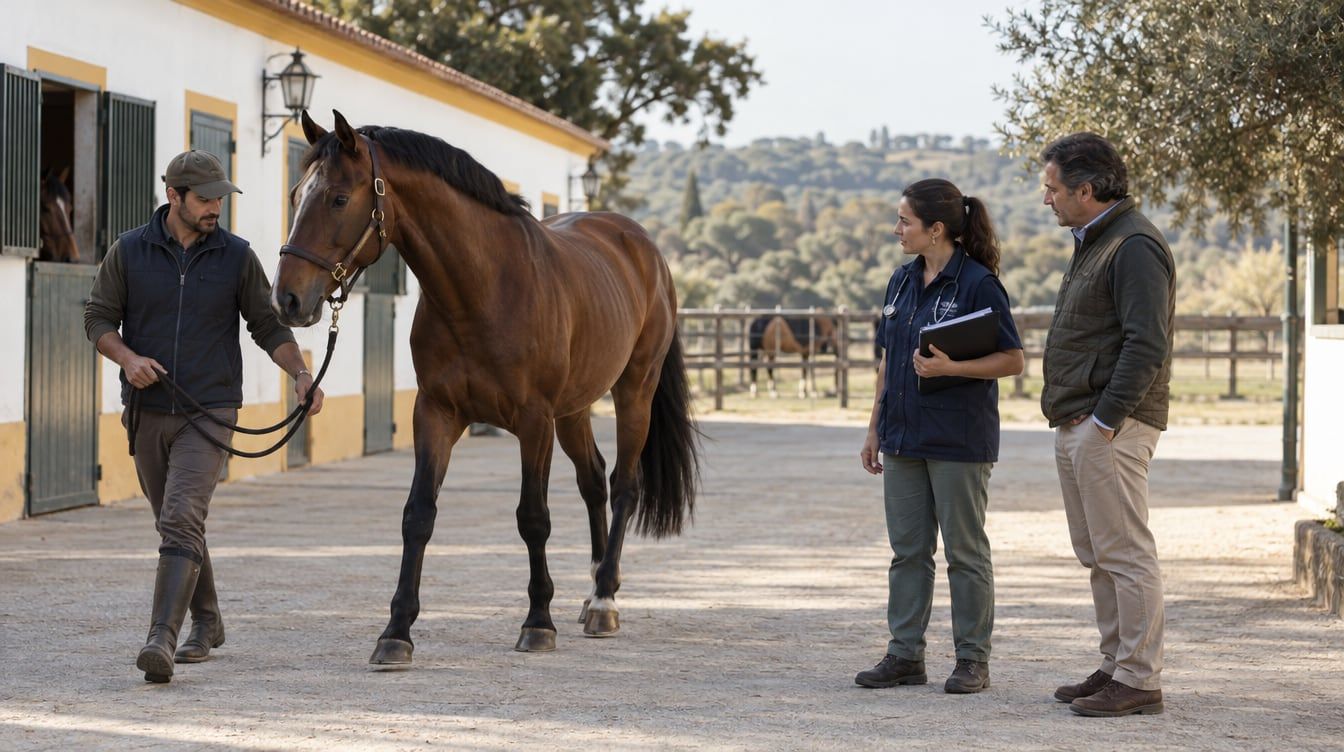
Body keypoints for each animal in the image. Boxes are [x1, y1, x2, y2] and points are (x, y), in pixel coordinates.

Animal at [271, 110, 700, 666]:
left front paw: (538, 622)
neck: (483, 288)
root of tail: (641, 245)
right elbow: (418, 515)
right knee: (593, 481)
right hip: (574, 410)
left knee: (624, 484)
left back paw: (605, 599)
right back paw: (591, 593)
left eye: (339, 198)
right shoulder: (436, 414)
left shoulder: (533, 422)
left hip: (634, 392)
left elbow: (533, 517)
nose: (287, 299)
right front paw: (396, 632)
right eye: (295, 193)